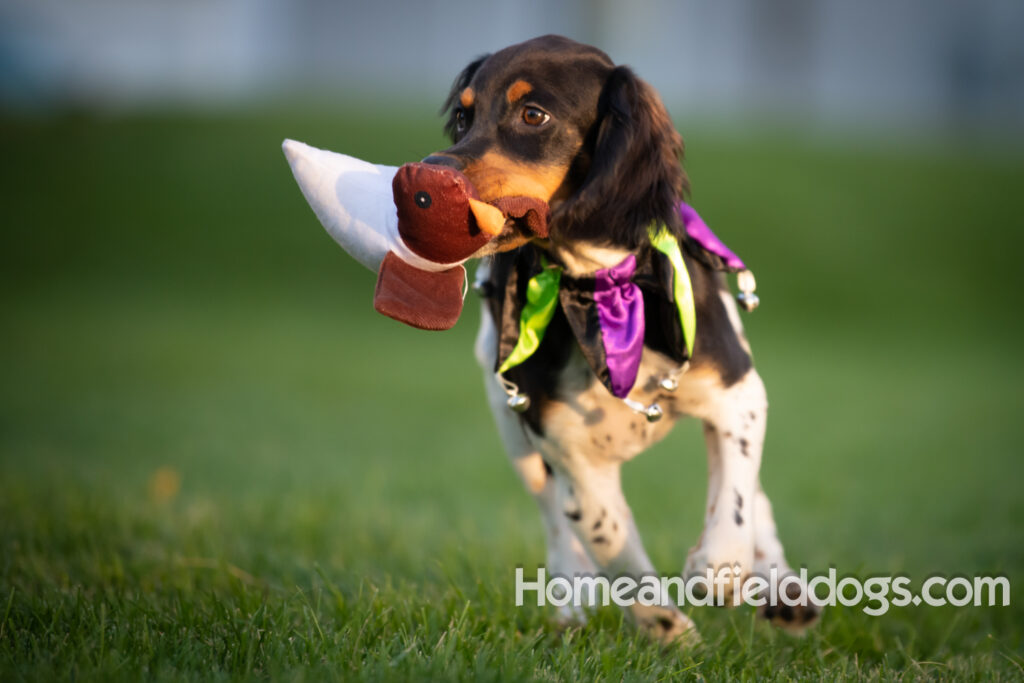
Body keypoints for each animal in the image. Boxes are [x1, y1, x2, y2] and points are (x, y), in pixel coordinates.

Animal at [419, 36, 819, 643]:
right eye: (464, 117)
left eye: (532, 115)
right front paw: (671, 633)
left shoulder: (737, 390)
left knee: (756, 494)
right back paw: (571, 599)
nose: (431, 172)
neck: (601, 290)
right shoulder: (569, 453)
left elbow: (735, 501)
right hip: (513, 430)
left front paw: (722, 572)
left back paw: (782, 586)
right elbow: (611, 542)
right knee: (554, 517)